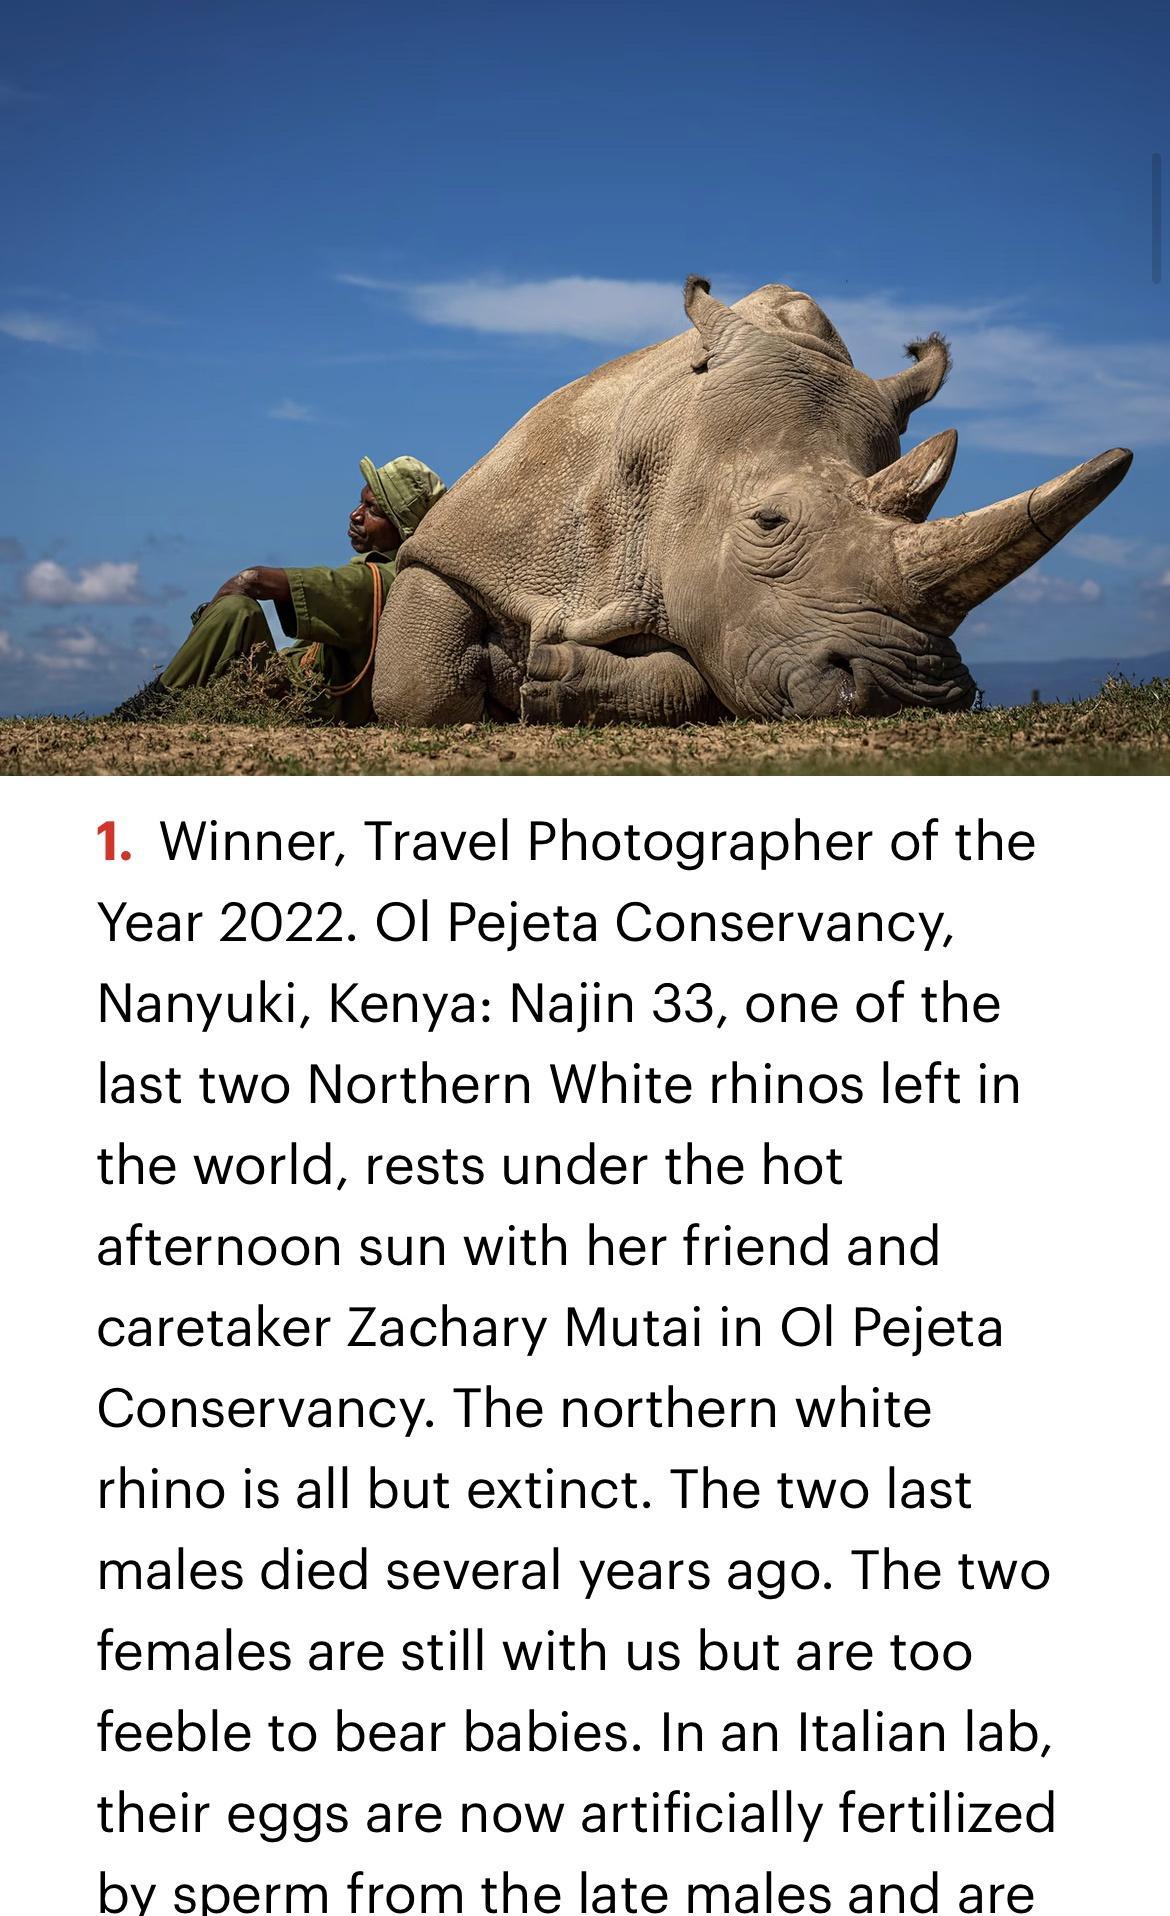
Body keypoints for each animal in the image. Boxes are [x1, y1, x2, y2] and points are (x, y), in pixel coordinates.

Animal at [372, 278, 1132, 725]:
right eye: (769, 523)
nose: (910, 690)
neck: (669, 448)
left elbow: (697, 675)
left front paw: (539, 679)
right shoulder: (470, 540)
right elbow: (418, 685)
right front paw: (498, 676)